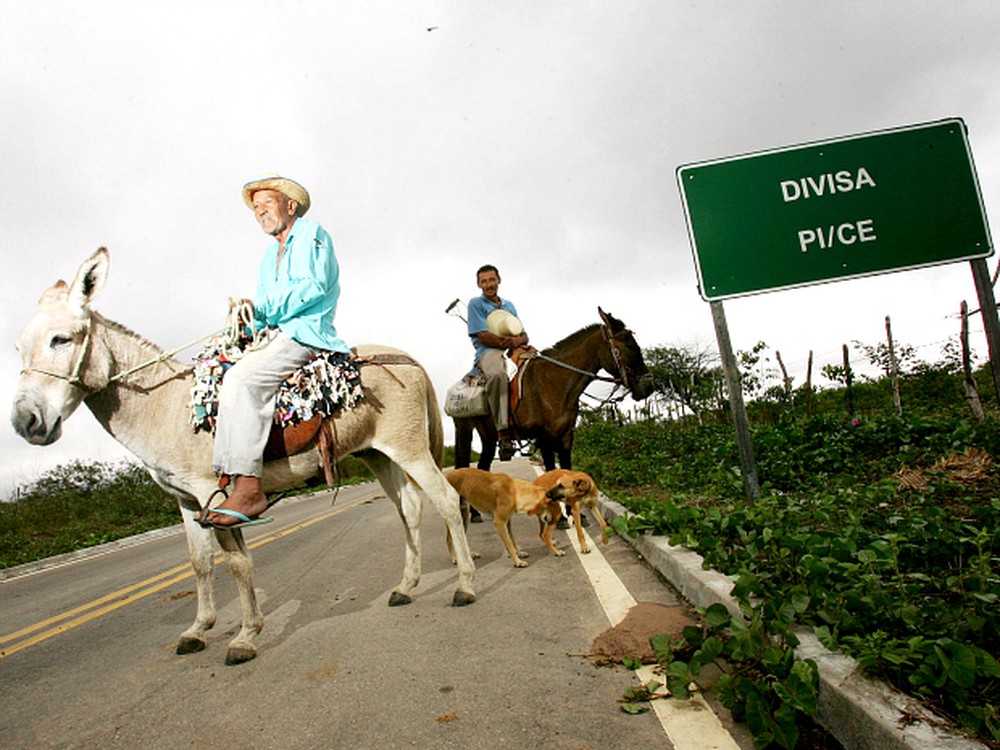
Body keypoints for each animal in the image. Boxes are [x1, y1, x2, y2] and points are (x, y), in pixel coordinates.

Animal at [454, 308, 656, 472]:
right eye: (630, 346)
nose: (649, 385)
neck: (554, 383)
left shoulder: (566, 439)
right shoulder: (544, 439)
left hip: (488, 437)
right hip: (464, 430)